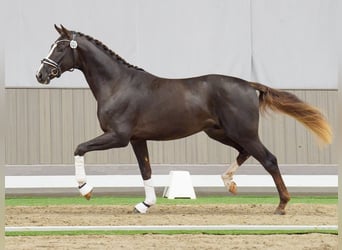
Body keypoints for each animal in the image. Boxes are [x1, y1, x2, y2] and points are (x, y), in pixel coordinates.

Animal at [36, 25, 332, 215]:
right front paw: (144, 206)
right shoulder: (137, 139)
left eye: (60, 47)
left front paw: (85, 189)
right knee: (246, 153)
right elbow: (146, 170)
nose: (40, 74)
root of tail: (248, 84)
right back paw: (229, 182)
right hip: (221, 132)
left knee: (269, 159)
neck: (118, 84)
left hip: (242, 132)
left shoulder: (118, 137)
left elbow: (79, 148)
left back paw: (281, 205)